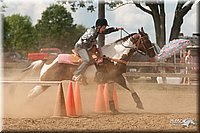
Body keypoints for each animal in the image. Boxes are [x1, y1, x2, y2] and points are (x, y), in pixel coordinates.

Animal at [22, 27, 156, 112]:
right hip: (46, 82)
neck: (113, 56)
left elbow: (112, 93)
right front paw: (139, 104)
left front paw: (113, 109)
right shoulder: (117, 77)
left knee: (31, 93)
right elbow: (130, 87)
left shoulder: (112, 79)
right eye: (145, 40)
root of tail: (47, 59)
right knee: (31, 94)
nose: (153, 54)